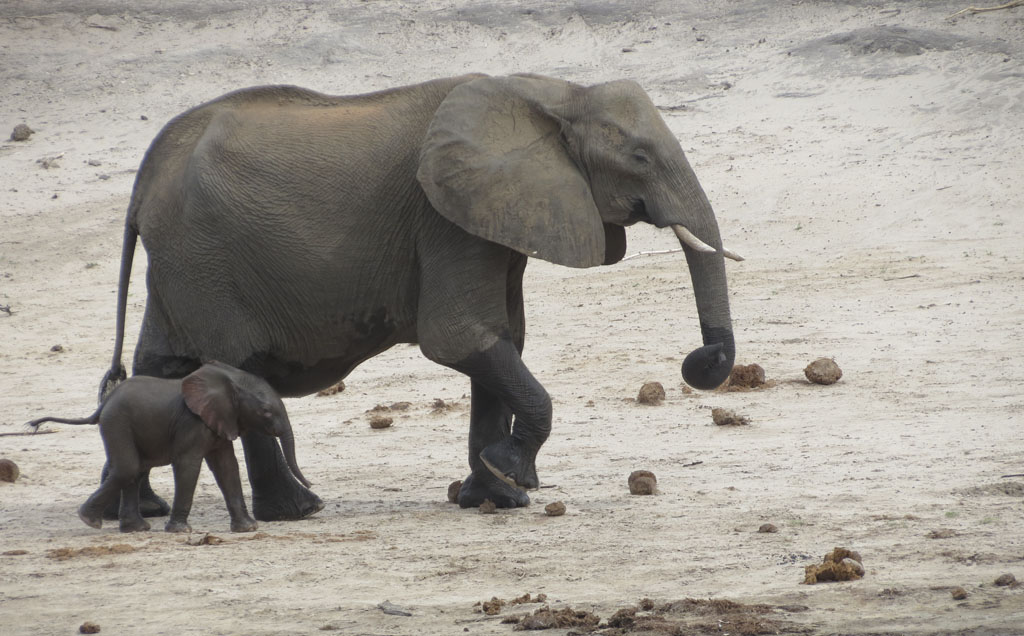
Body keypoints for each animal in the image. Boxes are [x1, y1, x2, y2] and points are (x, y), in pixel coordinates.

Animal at [27, 362, 309, 533]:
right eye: (266, 412)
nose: (311, 484)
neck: (229, 379)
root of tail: (103, 404)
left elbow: (227, 467)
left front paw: (248, 528)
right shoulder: (191, 423)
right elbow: (188, 465)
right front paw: (181, 531)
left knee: (135, 471)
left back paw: (135, 529)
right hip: (118, 423)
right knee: (128, 469)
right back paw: (89, 520)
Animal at [94, 73, 741, 516]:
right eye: (639, 157)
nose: (702, 360)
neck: (552, 94)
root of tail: (144, 178)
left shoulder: (486, 221)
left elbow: (502, 341)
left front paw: (494, 498)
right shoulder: (445, 223)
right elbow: (459, 339)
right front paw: (512, 478)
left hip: (181, 266)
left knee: (159, 365)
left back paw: (141, 509)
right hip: (203, 258)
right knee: (234, 367)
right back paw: (296, 512)